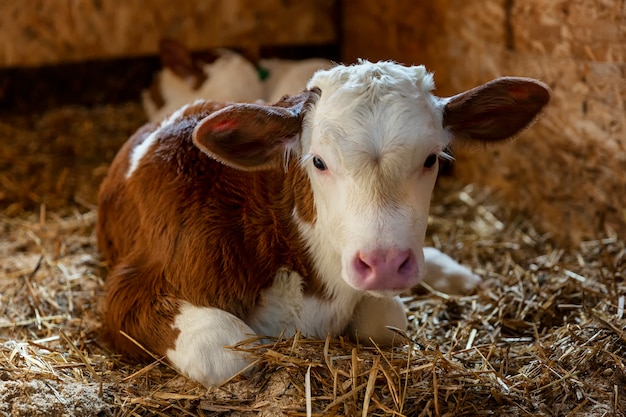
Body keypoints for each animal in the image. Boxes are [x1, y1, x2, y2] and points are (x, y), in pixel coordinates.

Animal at [95, 59, 548, 386]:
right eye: (318, 161)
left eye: (431, 158)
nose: (385, 263)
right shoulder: (132, 290)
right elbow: (227, 351)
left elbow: (387, 321)